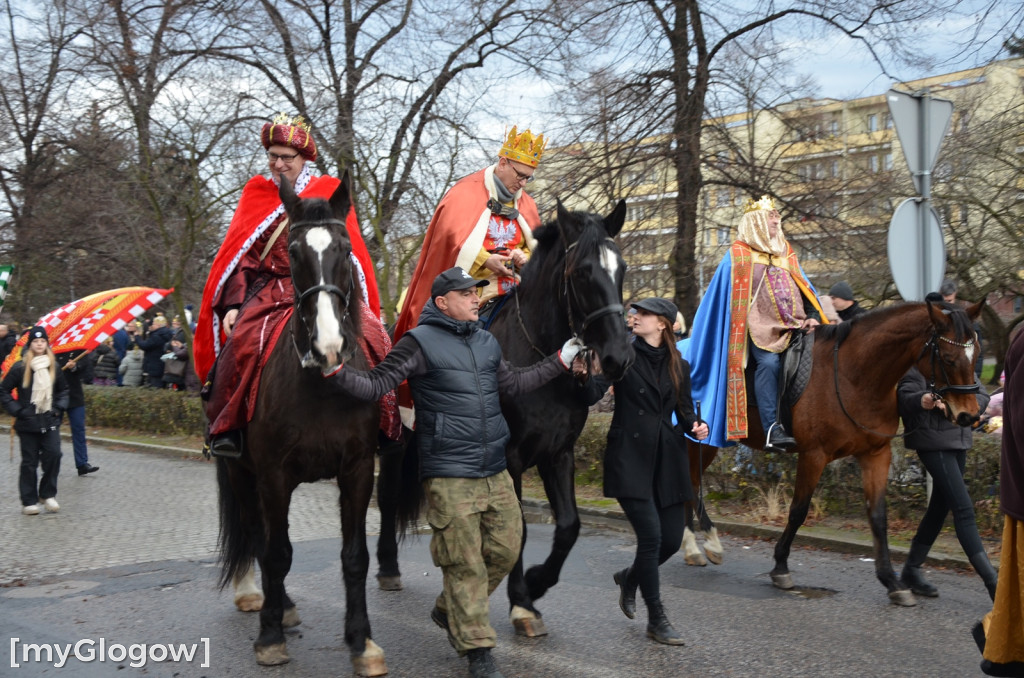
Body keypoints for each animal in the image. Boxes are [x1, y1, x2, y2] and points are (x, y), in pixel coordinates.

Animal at [679, 303, 983, 606]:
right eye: (948, 358)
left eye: (976, 353)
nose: (969, 415)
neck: (855, 376)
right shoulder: (814, 455)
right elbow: (798, 511)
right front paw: (780, 567)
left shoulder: (876, 455)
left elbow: (878, 516)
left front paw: (892, 581)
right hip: (696, 440)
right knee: (689, 487)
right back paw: (702, 545)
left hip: (705, 442)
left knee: (690, 485)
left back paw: (697, 546)